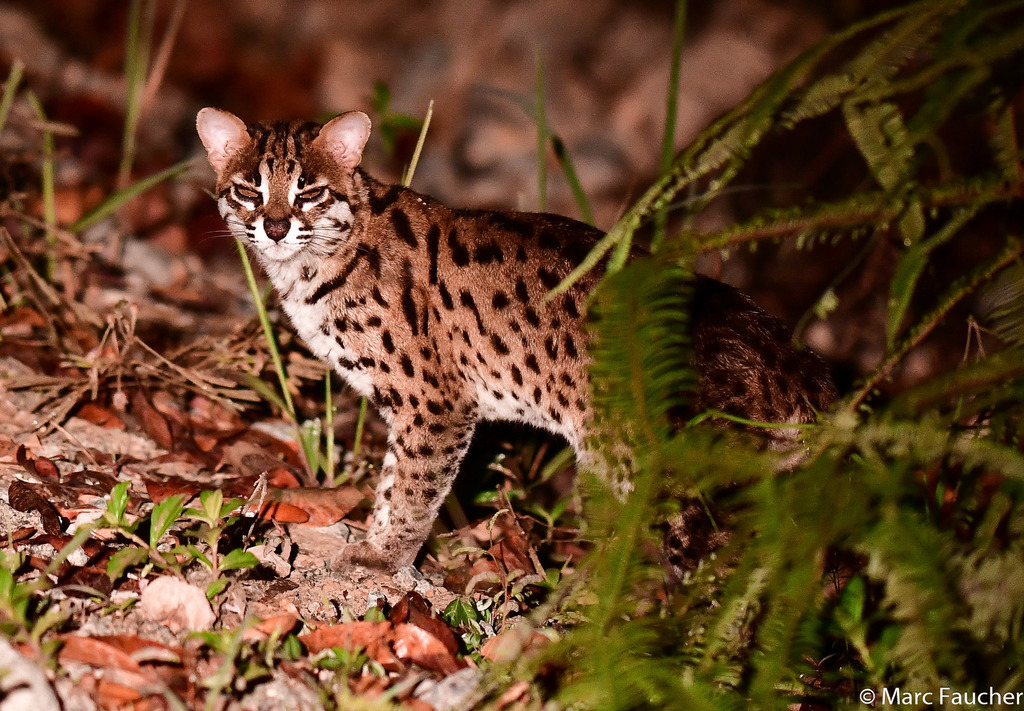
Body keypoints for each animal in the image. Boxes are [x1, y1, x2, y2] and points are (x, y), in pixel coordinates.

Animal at [195, 108, 835, 573]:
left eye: (310, 193)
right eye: (249, 190)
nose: (275, 226)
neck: (320, 262)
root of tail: (795, 361)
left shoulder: (438, 402)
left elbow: (410, 490)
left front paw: (382, 557)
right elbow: (395, 481)